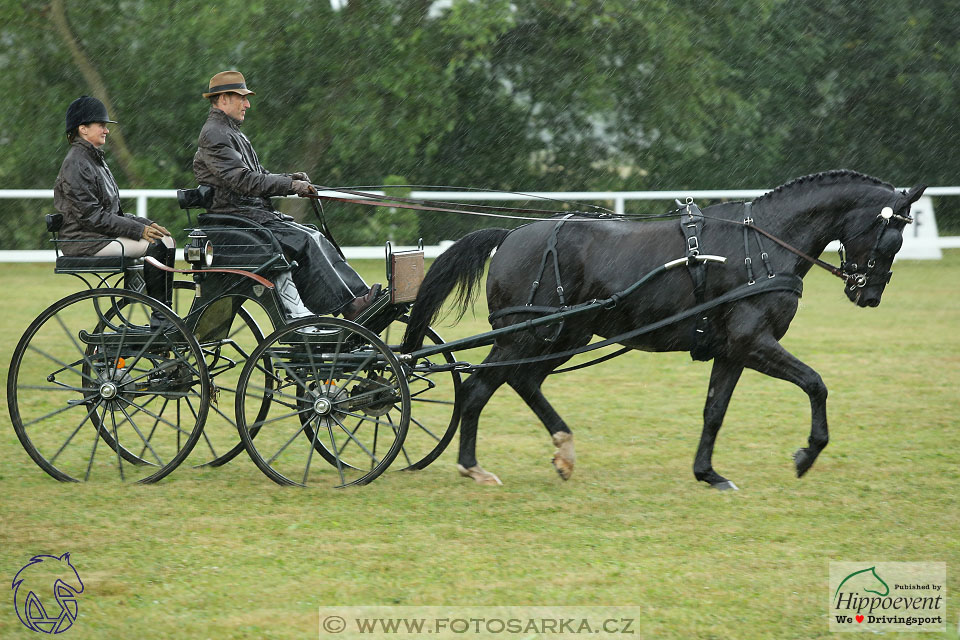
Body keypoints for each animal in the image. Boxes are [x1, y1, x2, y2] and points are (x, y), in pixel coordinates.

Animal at [402, 171, 928, 490]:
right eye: (891, 237)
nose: (868, 295)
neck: (762, 243)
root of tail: (510, 236)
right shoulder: (753, 342)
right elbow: (816, 384)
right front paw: (807, 454)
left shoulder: (732, 350)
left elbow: (714, 411)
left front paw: (708, 473)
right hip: (524, 335)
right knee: (478, 388)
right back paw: (472, 466)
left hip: (563, 336)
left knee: (524, 381)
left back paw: (562, 451)